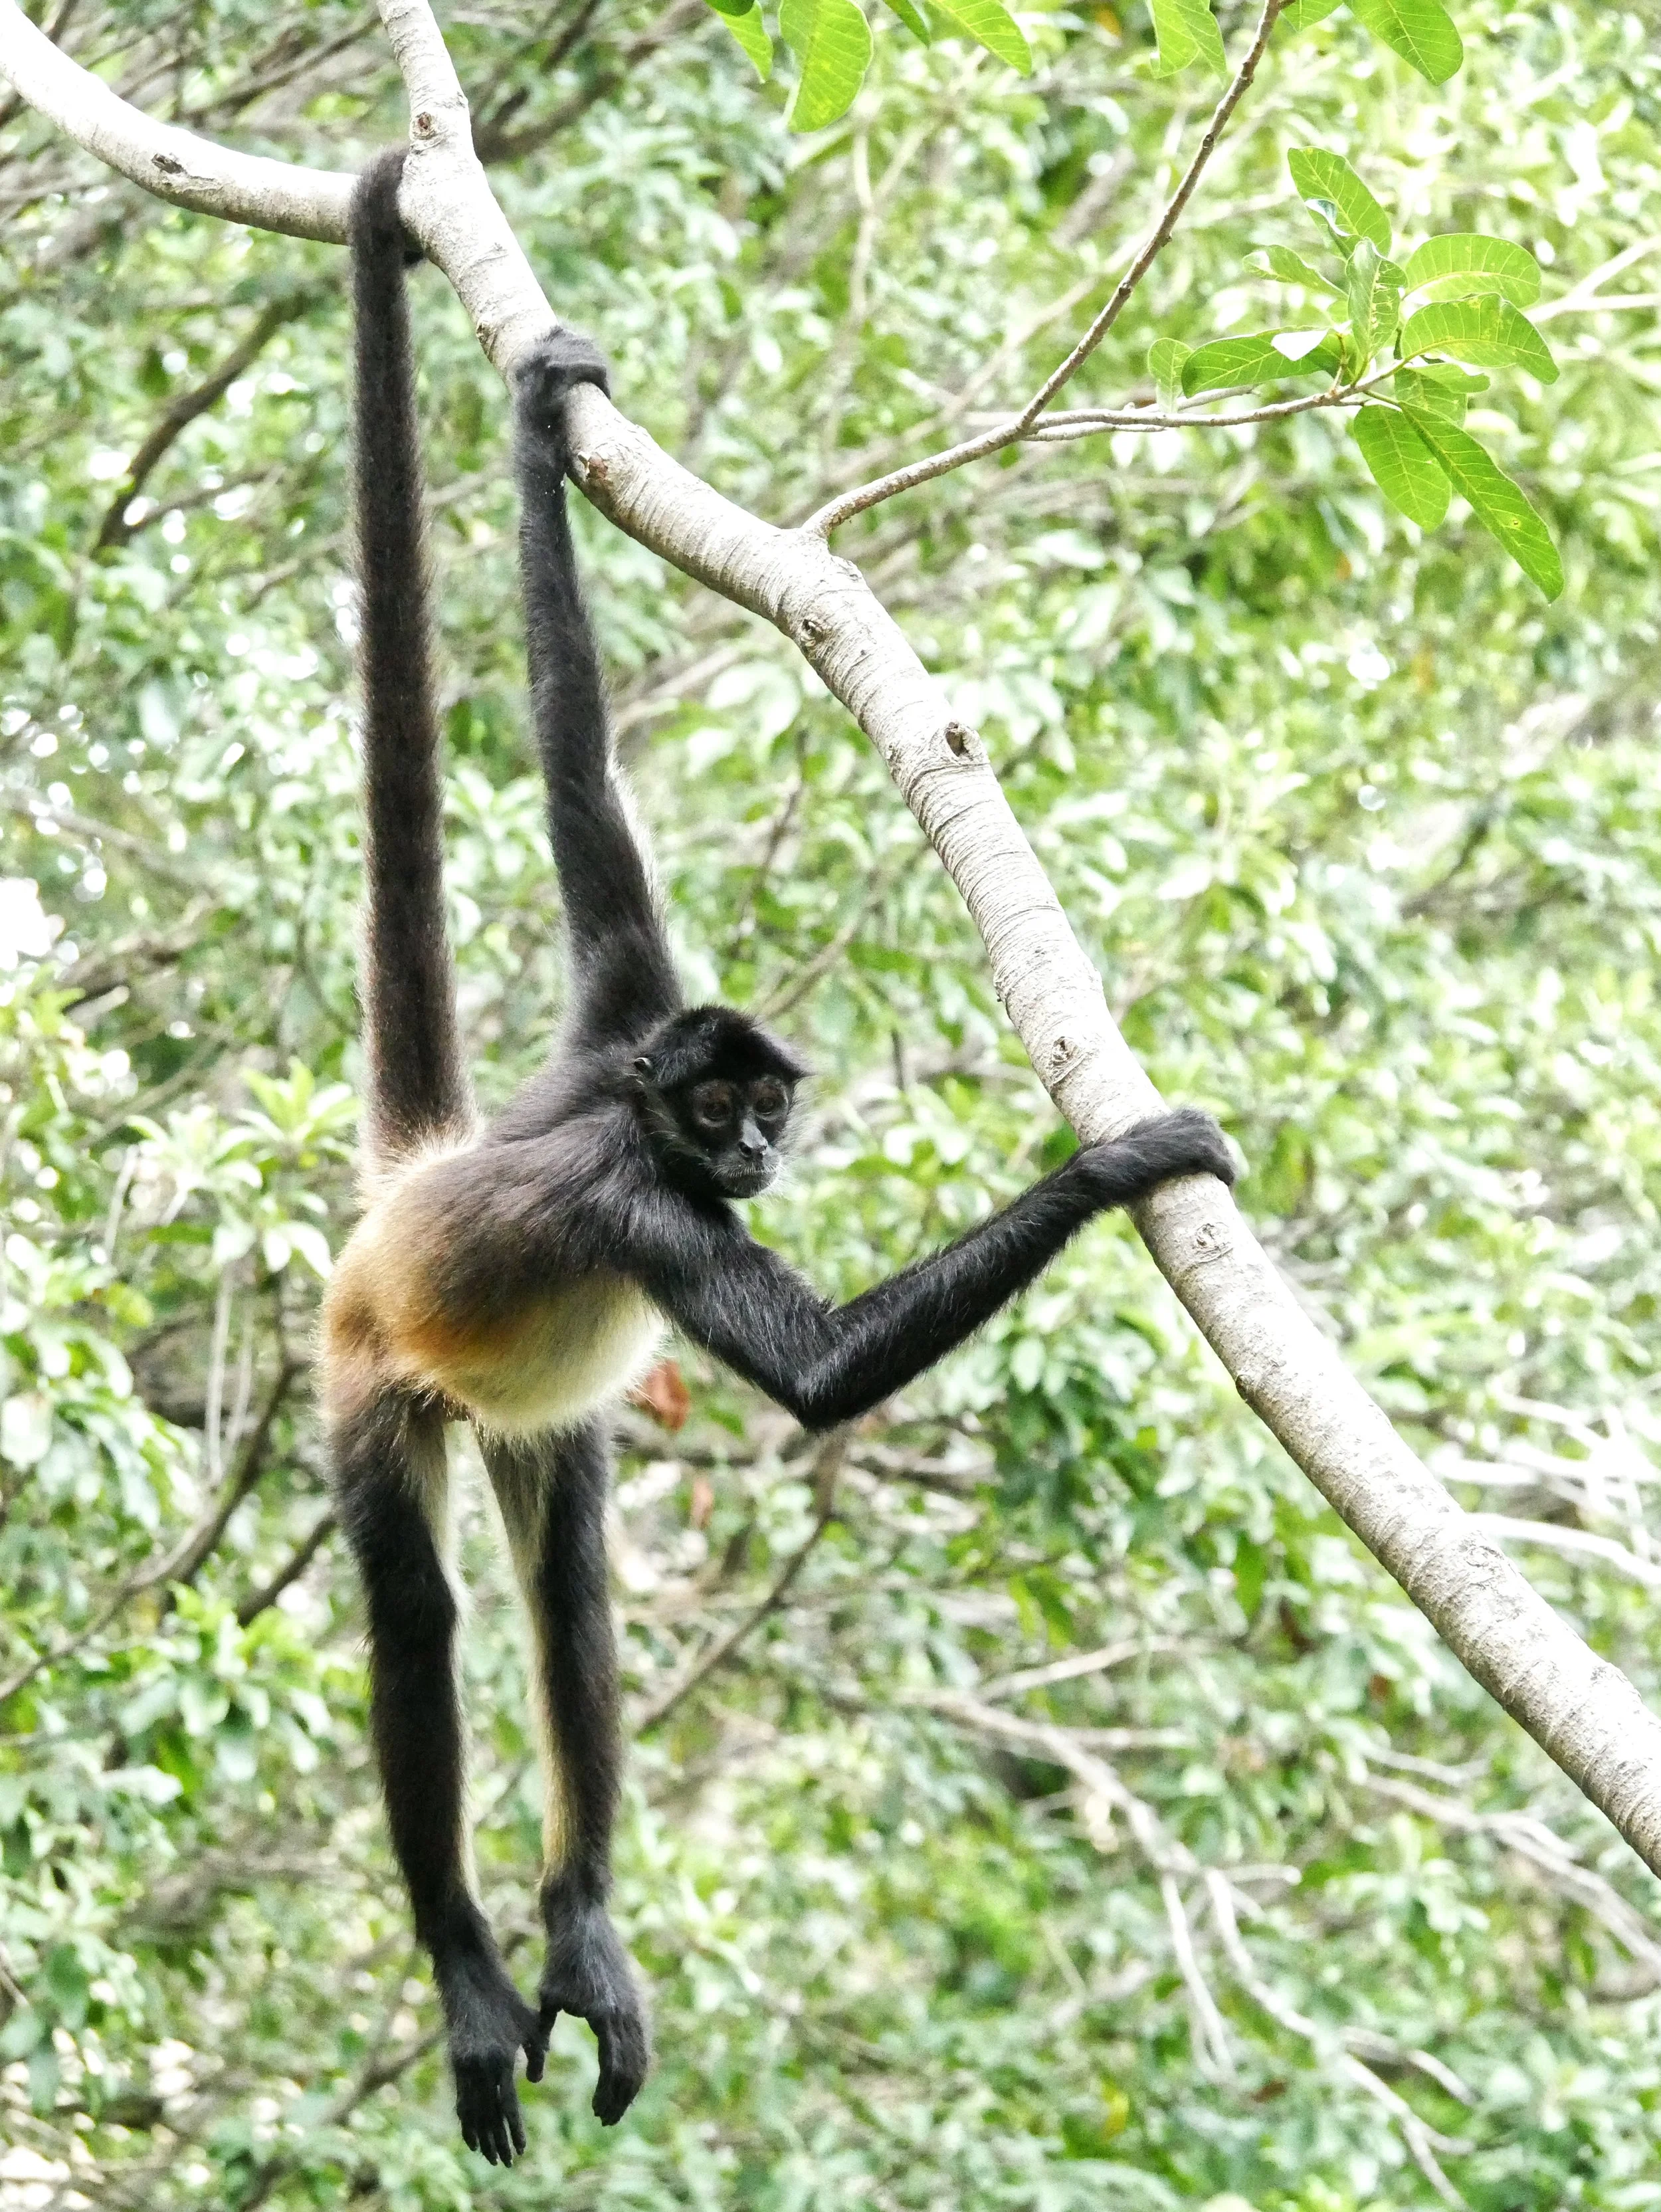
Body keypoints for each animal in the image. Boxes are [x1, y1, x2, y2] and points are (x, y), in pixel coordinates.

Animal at [327, 148, 1238, 2169]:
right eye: (720, 1116)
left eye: (773, 1109)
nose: (750, 1147)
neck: (620, 1103)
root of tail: (400, 1200)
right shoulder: (632, 1192)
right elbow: (818, 1375)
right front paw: (1123, 1155)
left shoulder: (620, 995)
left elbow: (577, 775)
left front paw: (537, 429)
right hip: (370, 1379)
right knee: (421, 1623)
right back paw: (470, 1973)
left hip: (533, 1424)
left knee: (569, 1582)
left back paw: (581, 1932)